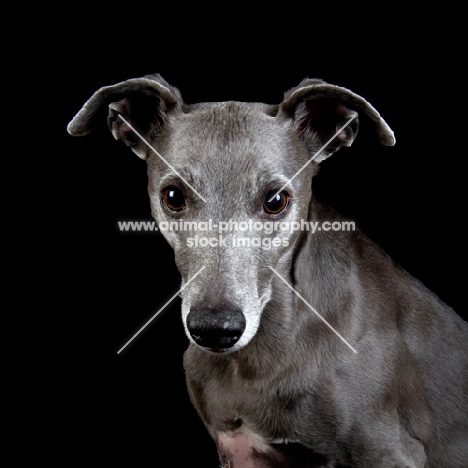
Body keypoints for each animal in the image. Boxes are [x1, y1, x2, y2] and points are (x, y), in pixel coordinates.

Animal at [68, 75, 468, 466]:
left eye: (276, 200)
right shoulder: (237, 449)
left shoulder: (390, 450)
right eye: (173, 196)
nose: (215, 329)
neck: (253, 360)